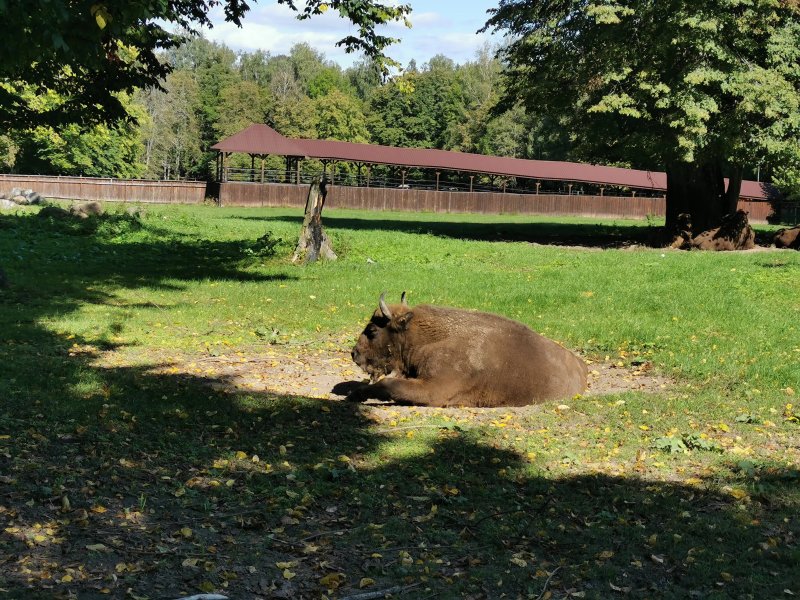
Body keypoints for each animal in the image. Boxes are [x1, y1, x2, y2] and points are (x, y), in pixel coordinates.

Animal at [337, 293, 587, 407]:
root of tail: (581, 367)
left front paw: (356, 394)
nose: (354, 353)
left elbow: (389, 385)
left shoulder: (436, 389)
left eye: (372, 330)